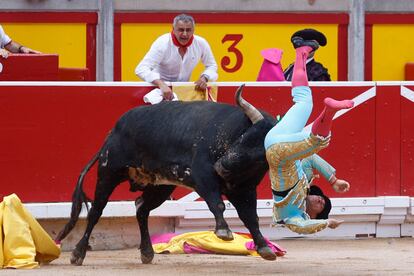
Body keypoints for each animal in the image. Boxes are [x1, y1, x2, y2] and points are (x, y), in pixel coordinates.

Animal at [56, 84, 278, 266]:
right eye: (245, 137)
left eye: (260, 156)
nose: (221, 166)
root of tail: (113, 131)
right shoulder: (203, 175)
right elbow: (218, 203)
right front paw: (223, 231)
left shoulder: (245, 190)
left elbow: (251, 217)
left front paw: (264, 247)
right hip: (108, 172)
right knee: (96, 211)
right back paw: (78, 253)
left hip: (160, 187)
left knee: (141, 209)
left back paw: (147, 252)